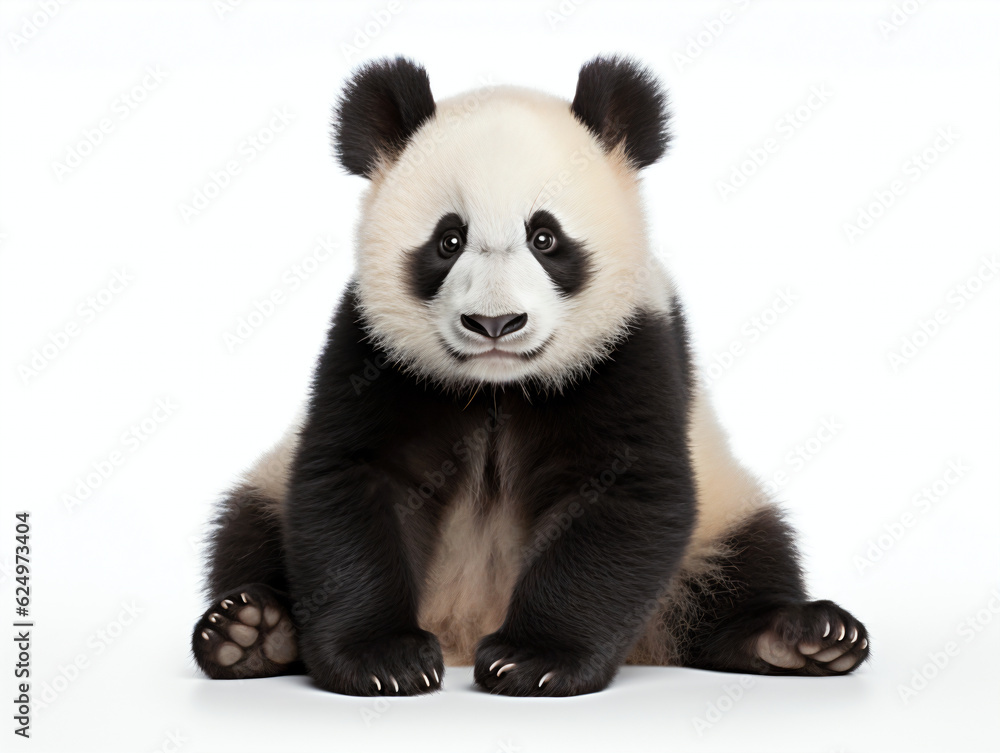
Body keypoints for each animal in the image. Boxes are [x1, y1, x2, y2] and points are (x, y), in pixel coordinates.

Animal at [191, 55, 870, 697]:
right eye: (449, 240)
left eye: (545, 237)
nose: (495, 323)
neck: (498, 387)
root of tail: (461, 623)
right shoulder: (372, 353)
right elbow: (353, 479)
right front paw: (383, 660)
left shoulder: (631, 349)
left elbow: (622, 495)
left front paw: (533, 661)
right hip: (268, 483)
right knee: (248, 526)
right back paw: (250, 633)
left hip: (724, 505)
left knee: (747, 557)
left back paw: (802, 637)